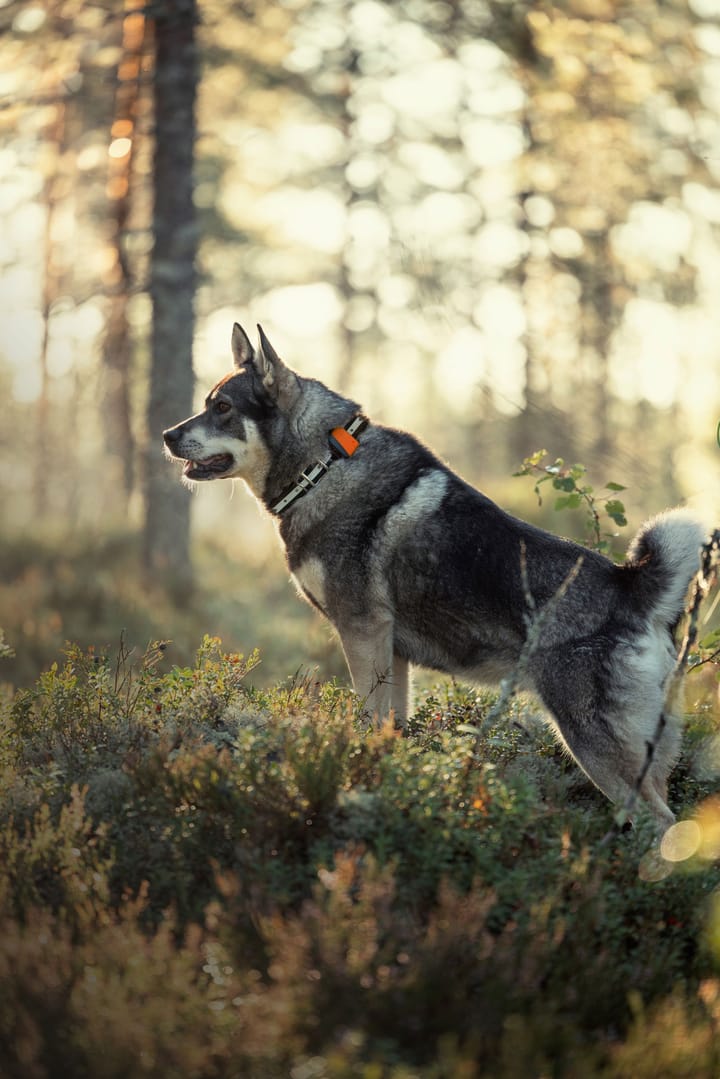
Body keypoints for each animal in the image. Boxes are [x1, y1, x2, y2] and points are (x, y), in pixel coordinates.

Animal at [165, 319, 708, 824]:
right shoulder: (391, 651)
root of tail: (632, 588)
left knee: (661, 824)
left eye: (223, 408)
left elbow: (368, 718)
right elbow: (391, 727)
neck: (321, 466)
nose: (167, 435)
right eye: (208, 403)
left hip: (596, 746)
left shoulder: (362, 632)